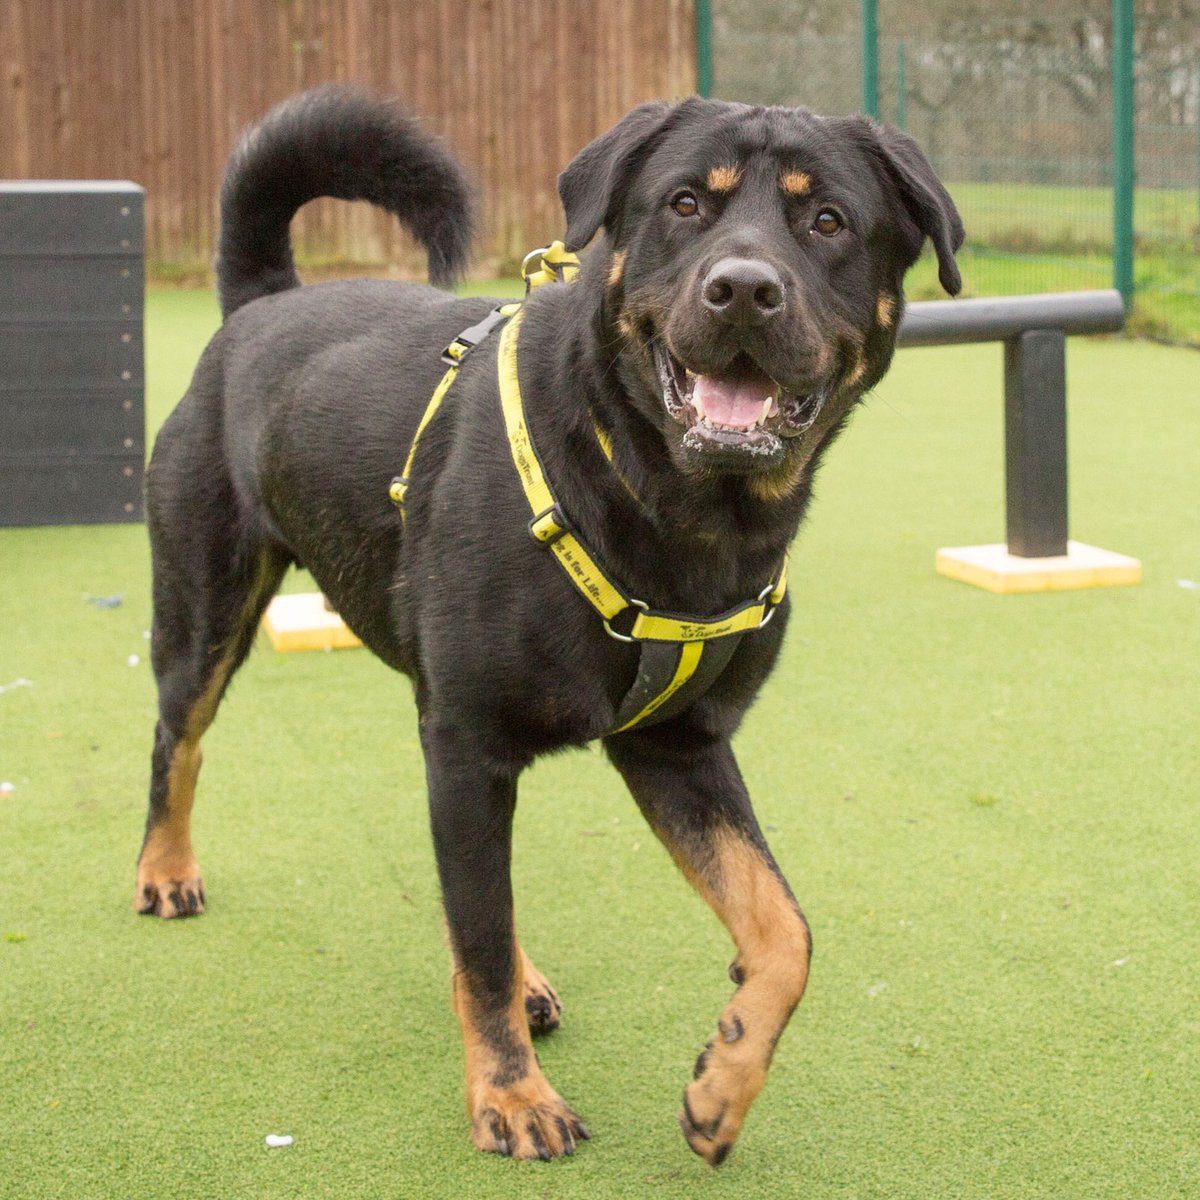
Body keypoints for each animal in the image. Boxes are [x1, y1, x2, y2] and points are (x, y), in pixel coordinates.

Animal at [138, 84, 964, 1161]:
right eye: (685, 204)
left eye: (827, 221)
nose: (744, 290)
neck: (674, 507)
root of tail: (263, 300)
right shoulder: (468, 741)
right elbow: (481, 941)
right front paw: (512, 1097)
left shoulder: (676, 745)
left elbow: (784, 928)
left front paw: (724, 1081)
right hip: (209, 613)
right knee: (180, 740)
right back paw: (165, 869)